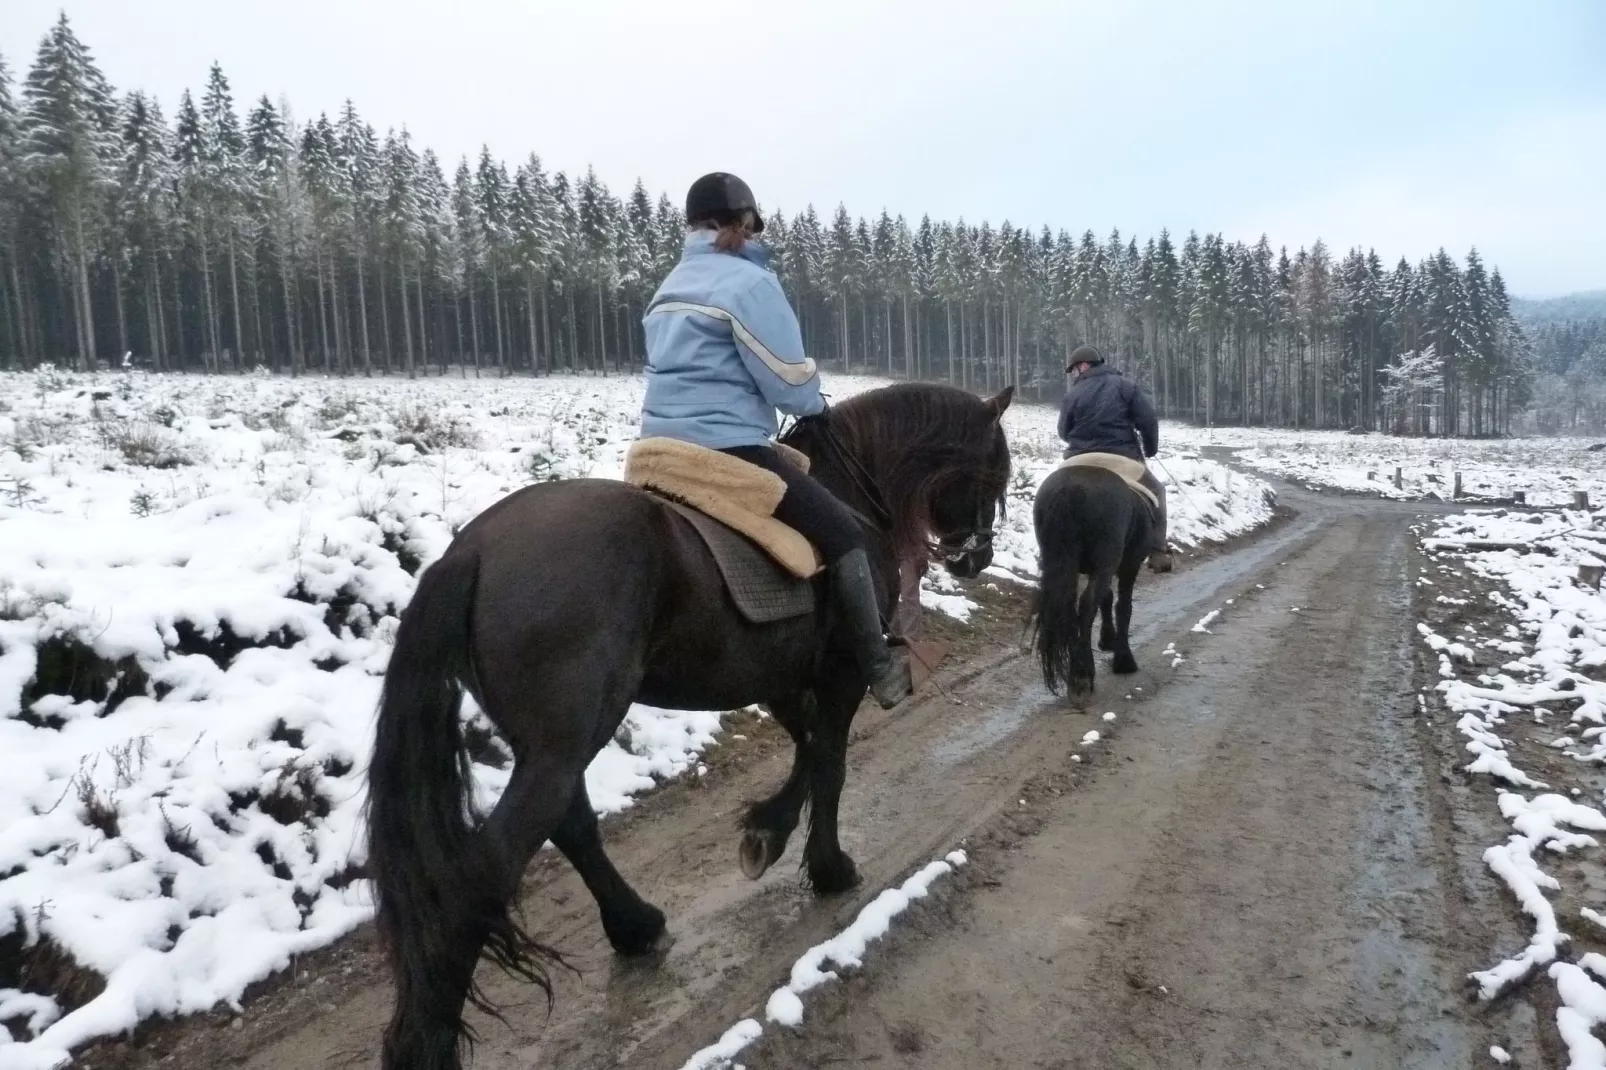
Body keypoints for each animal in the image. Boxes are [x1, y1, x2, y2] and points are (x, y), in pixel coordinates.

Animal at [367, 379, 1014, 1060]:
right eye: (993, 472)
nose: (977, 558)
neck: (851, 489)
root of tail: (472, 549)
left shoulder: (783, 680)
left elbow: (809, 750)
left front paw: (766, 833)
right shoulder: (840, 676)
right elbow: (832, 765)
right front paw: (830, 867)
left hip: (552, 741)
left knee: (572, 825)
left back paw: (634, 925)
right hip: (566, 738)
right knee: (491, 865)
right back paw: (427, 1038)